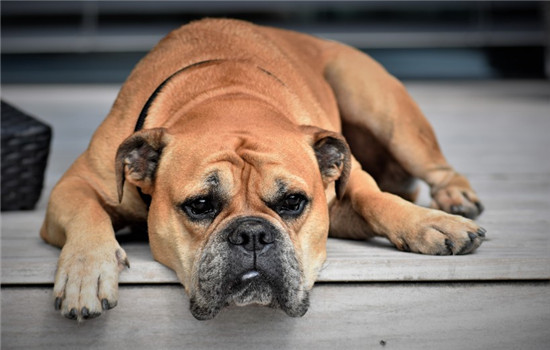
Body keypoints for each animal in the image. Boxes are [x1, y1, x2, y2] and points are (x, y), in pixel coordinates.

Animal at [41, 17, 486, 322]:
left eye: (293, 202)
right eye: (200, 205)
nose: (252, 234)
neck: (226, 96)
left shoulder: (347, 188)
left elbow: (375, 198)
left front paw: (429, 223)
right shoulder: (74, 185)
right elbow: (87, 211)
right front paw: (85, 272)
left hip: (382, 106)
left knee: (434, 167)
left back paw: (454, 199)